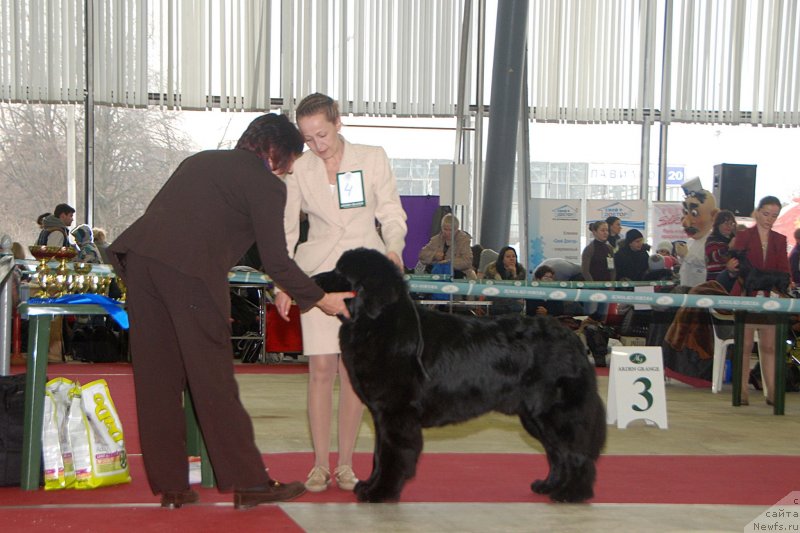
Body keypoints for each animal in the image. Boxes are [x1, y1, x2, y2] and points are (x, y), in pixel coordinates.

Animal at [316, 247, 604, 500]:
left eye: (340, 272)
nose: (314, 279)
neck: (379, 324)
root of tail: (573, 339)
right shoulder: (382, 414)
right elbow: (379, 455)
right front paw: (369, 485)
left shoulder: (396, 413)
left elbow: (391, 455)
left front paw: (380, 492)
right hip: (534, 417)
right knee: (556, 453)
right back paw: (549, 486)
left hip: (557, 413)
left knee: (574, 453)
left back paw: (572, 493)